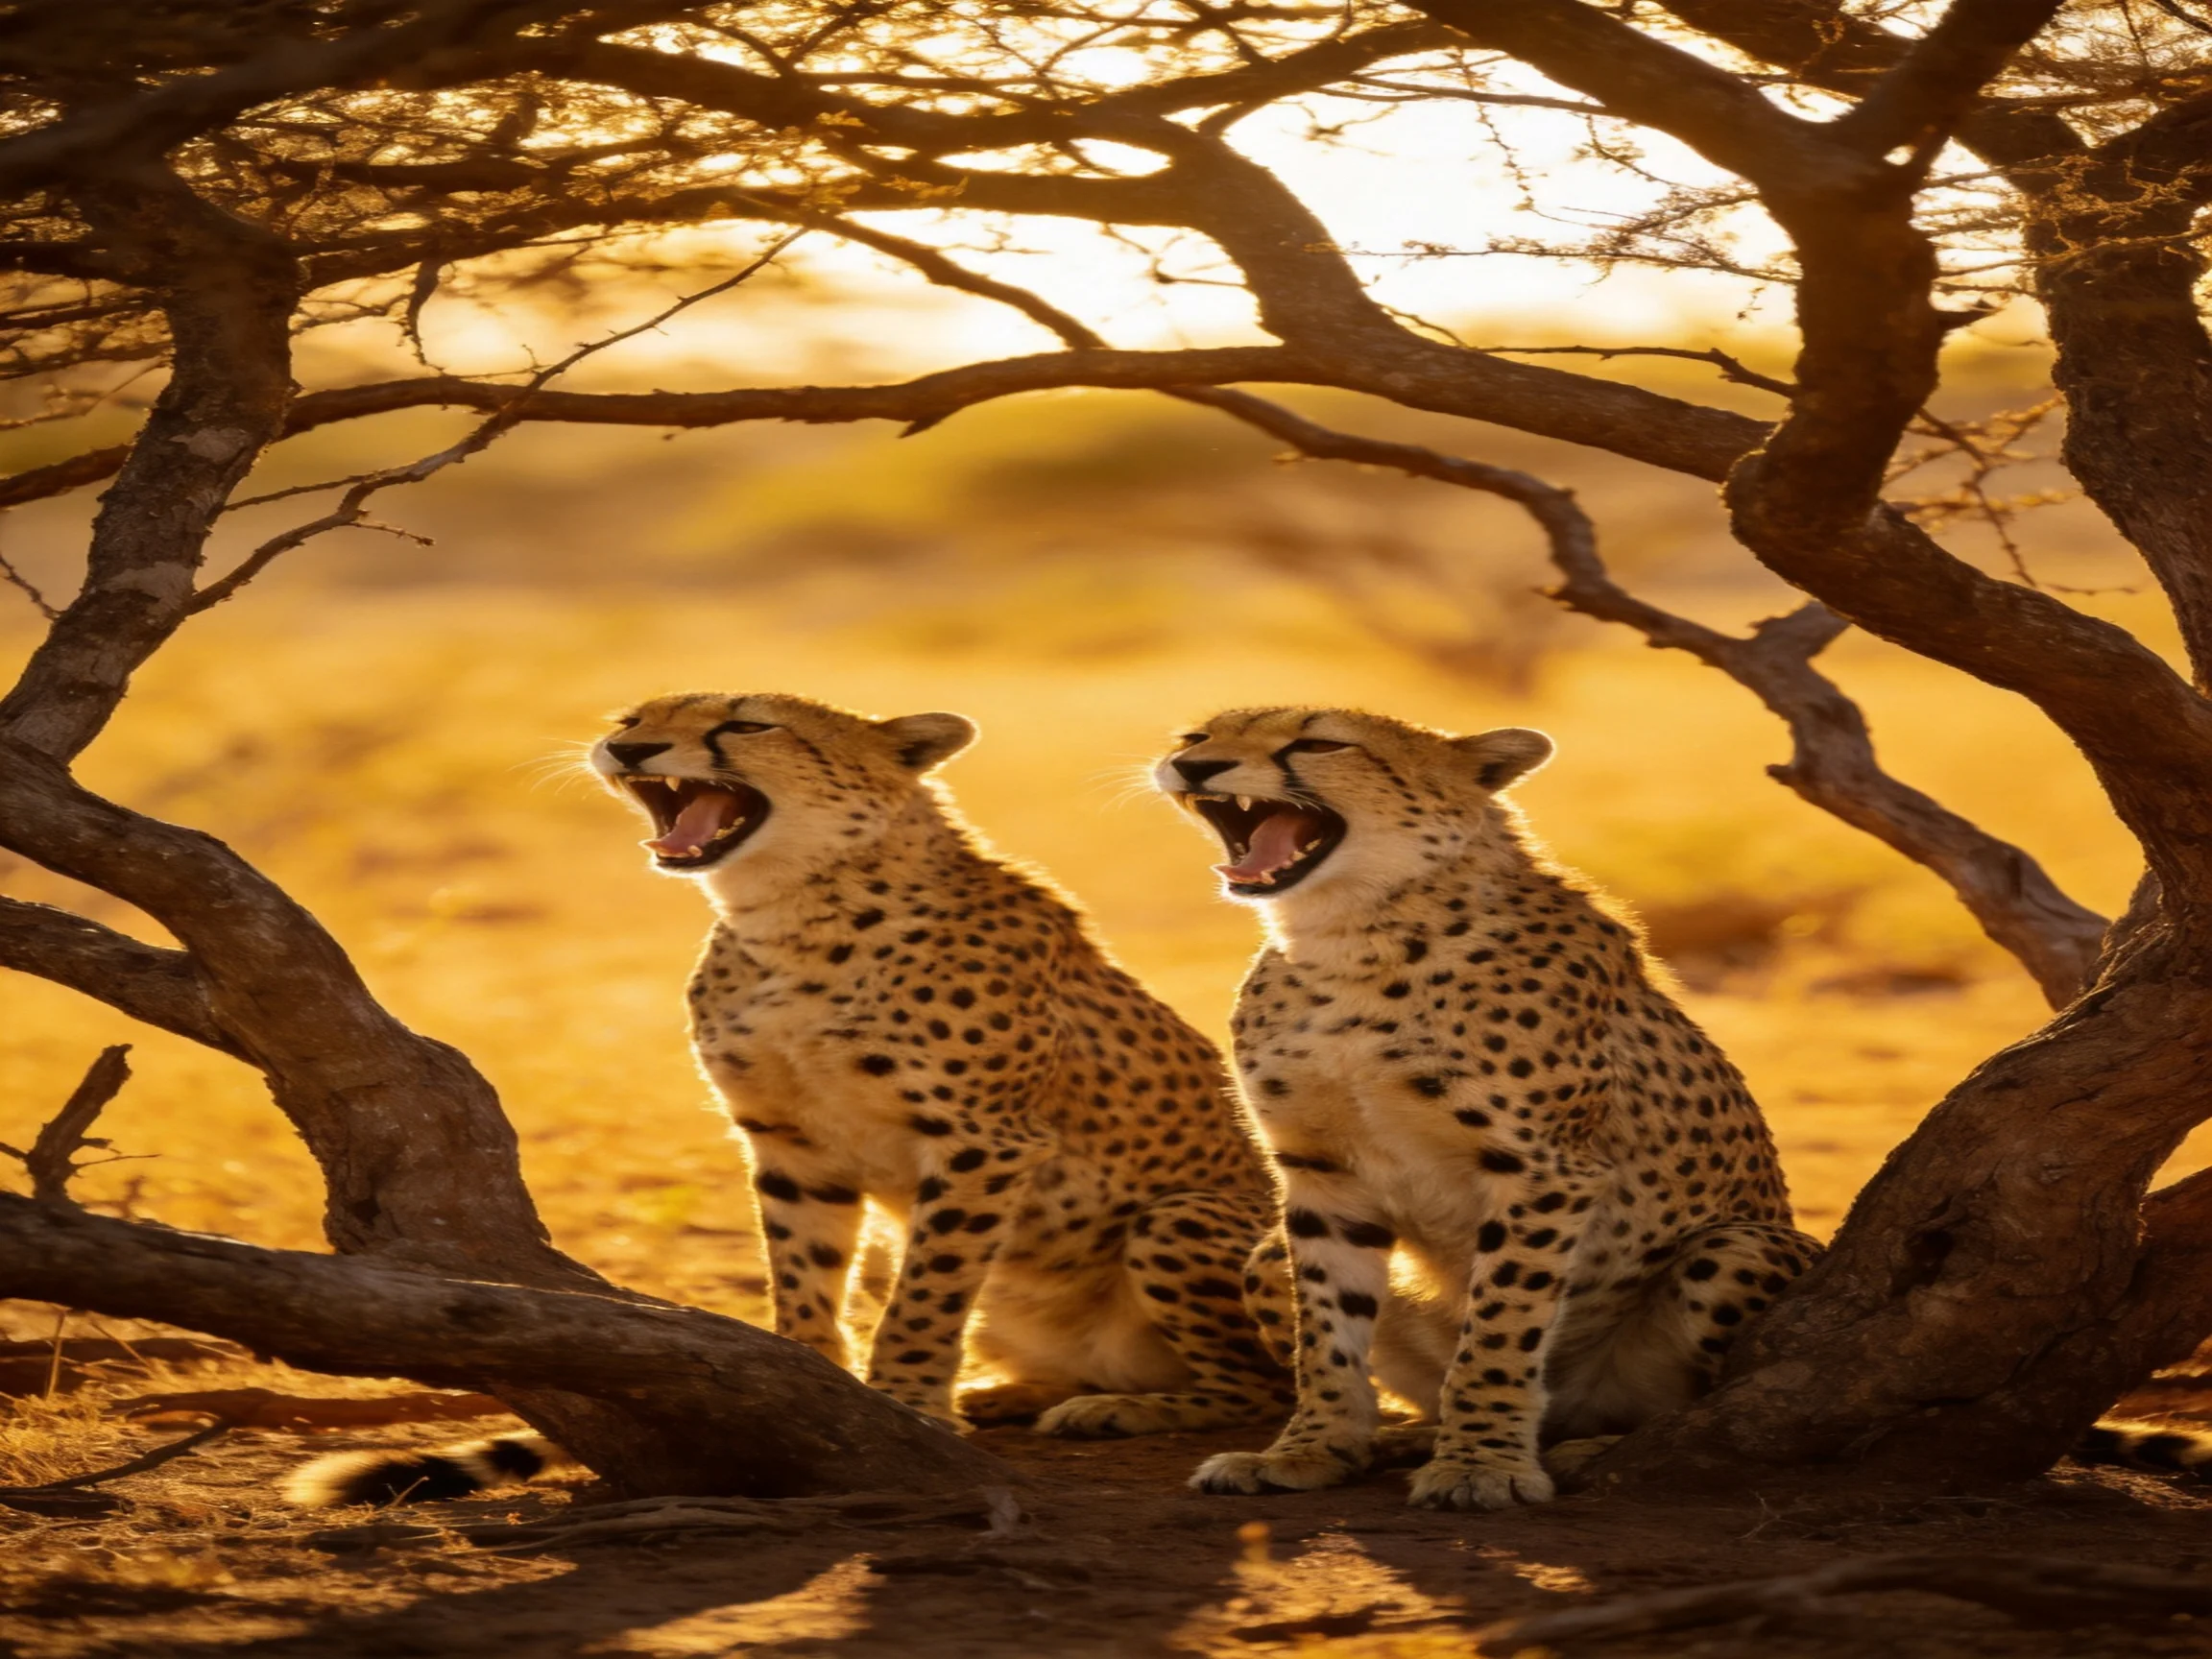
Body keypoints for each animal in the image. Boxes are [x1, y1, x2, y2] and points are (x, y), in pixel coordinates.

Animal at [1152, 704, 1823, 1512]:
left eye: (1320, 743)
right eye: (1195, 737)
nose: (1194, 767)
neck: (1346, 940)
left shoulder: (1545, 1169)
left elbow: (1502, 1324)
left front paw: (1481, 1463)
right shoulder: (1321, 1171)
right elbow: (1326, 1330)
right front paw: (1311, 1449)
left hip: (1737, 1244)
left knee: (1664, 1406)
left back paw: (1583, 1447)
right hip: (1263, 1255)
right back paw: (1406, 1437)